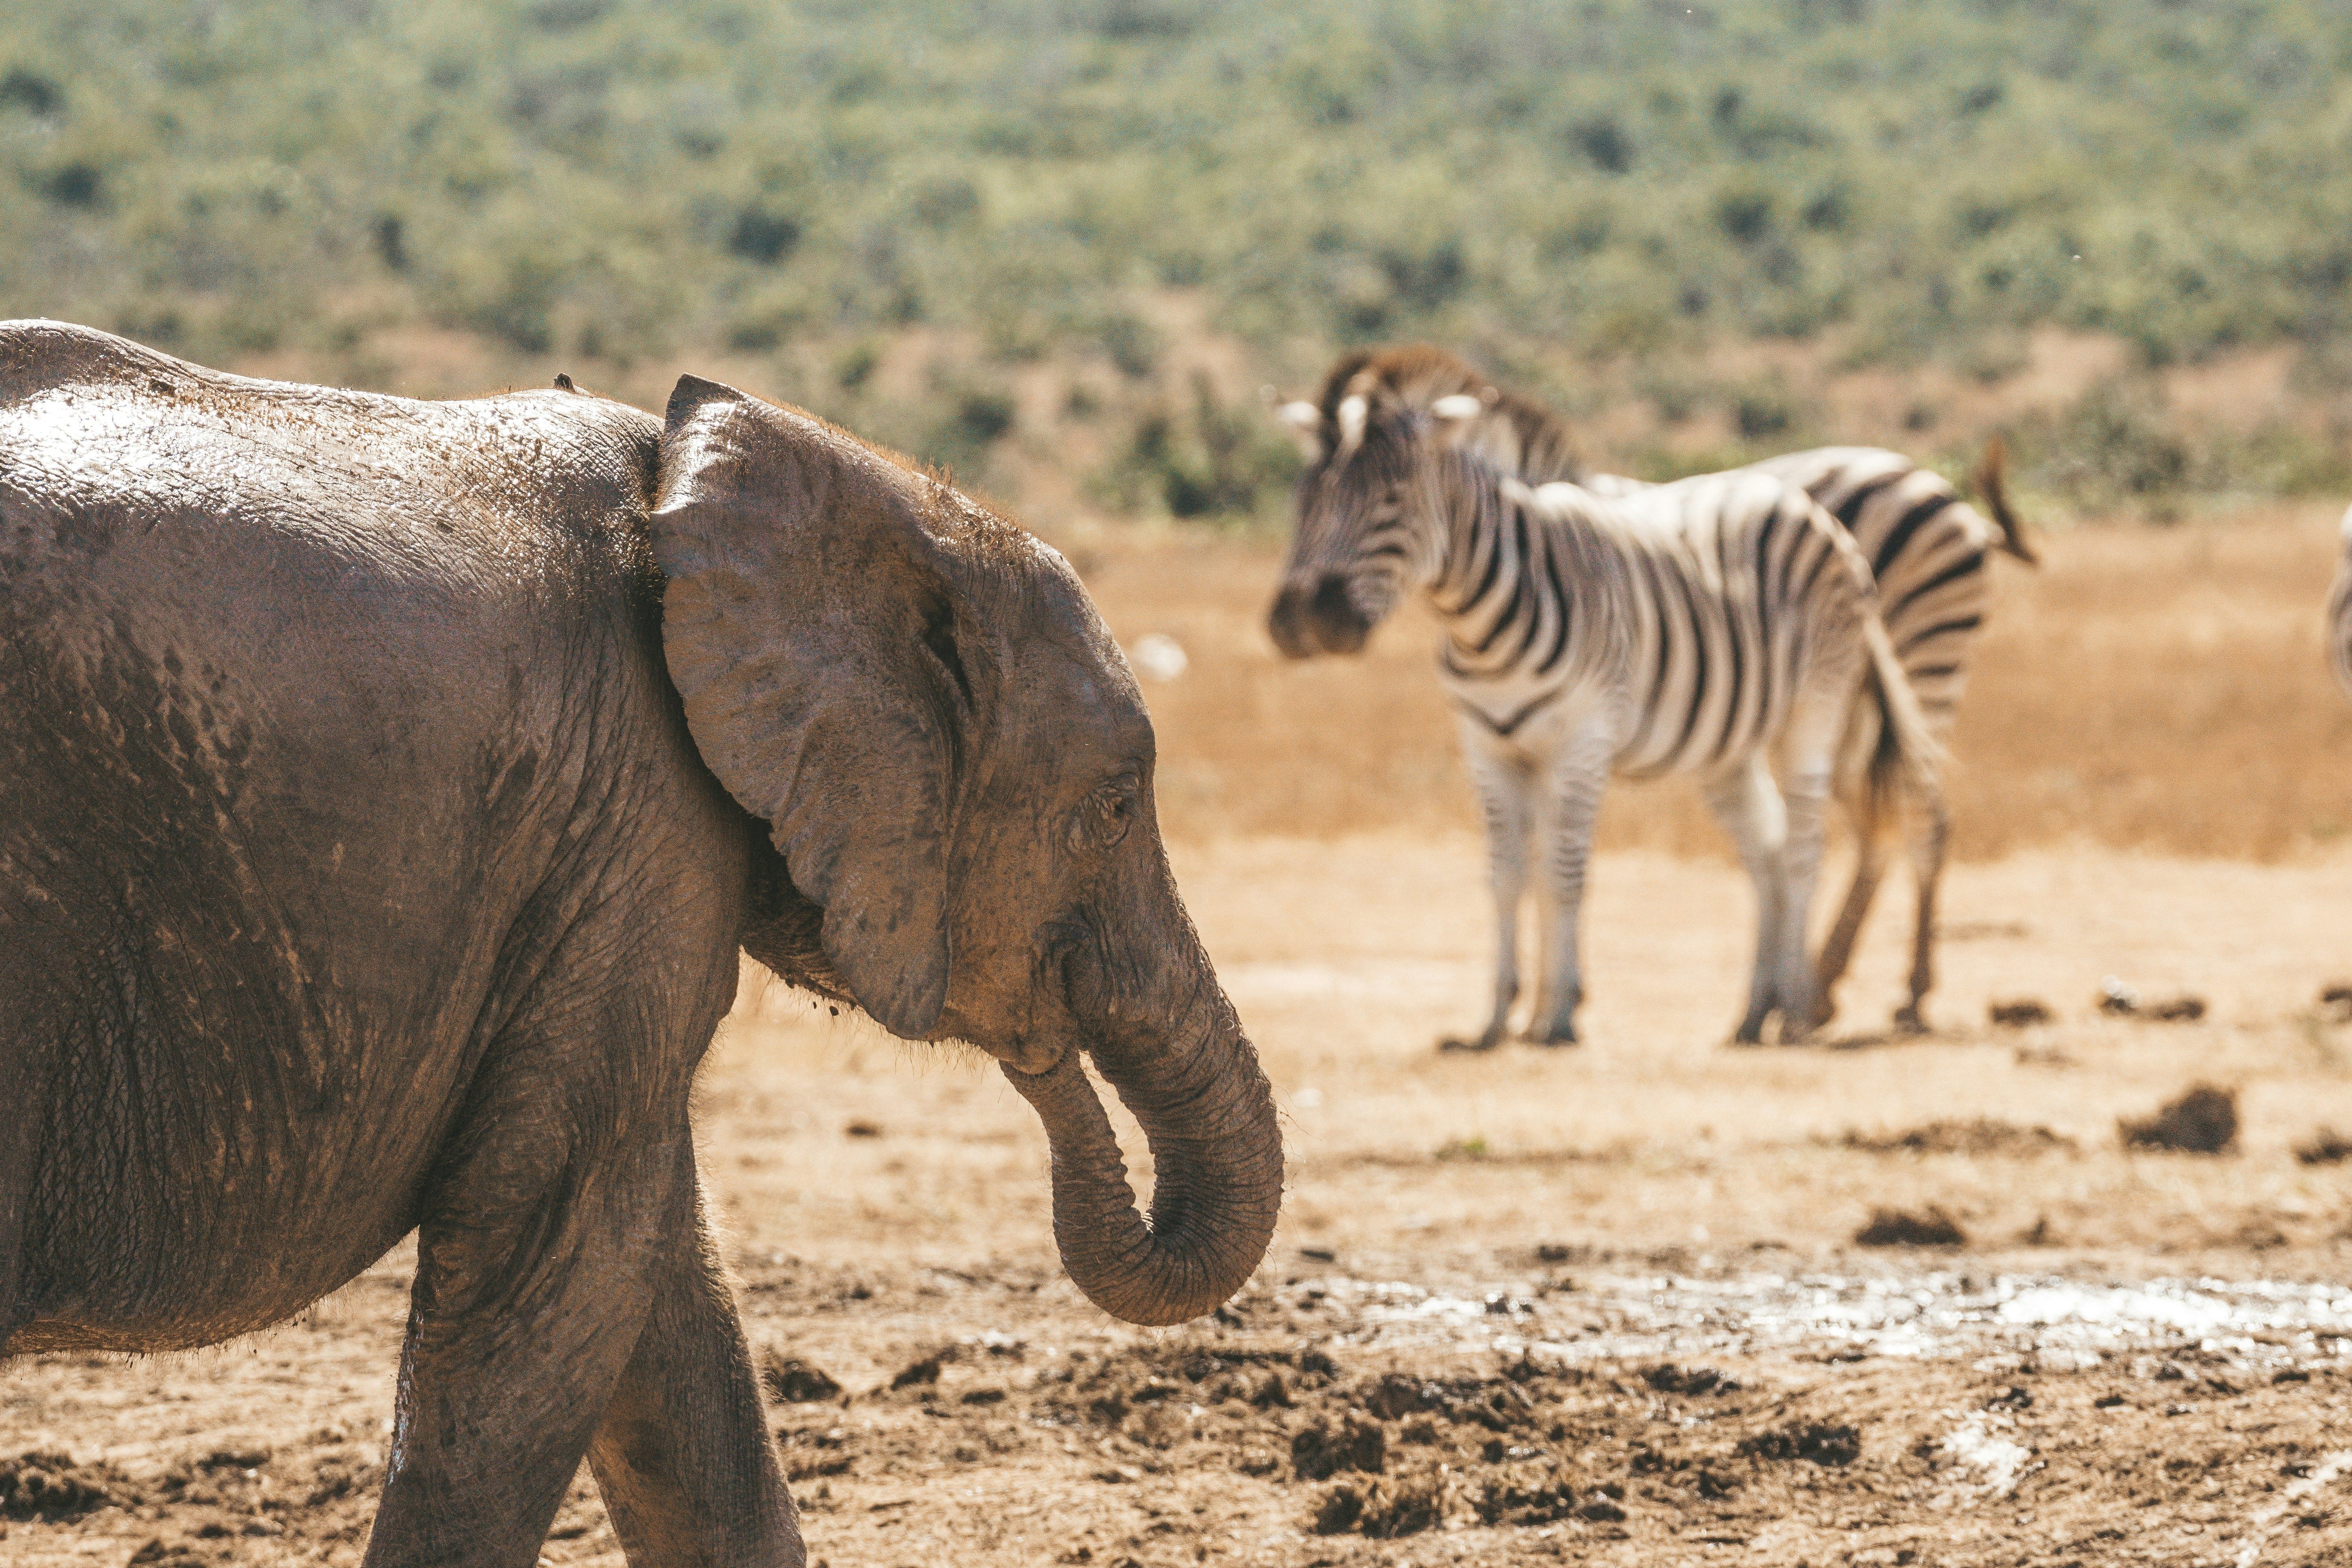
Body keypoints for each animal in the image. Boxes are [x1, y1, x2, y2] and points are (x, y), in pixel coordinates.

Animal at [1261, 348, 2032, 1044]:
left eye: (1390, 499)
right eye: (1306, 498)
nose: (1302, 620)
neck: (1483, 615)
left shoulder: (1583, 738)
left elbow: (1564, 872)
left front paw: (1557, 1015)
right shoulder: (1492, 745)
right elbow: (1510, 875)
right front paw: (1503, 1017)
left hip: (1864, 693)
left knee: (1866, 833)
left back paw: (1849, 1000)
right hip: (1738, 740)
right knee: (1784, 850)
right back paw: (1771, 1007)